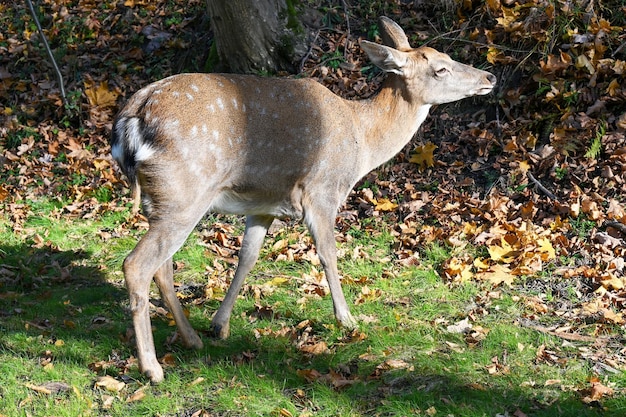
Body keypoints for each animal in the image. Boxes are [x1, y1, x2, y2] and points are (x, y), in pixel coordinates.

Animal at [111, 16, 492, 382]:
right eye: (440, 68)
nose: (489, 76)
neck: (363, 140)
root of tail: (131, 119)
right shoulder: (321, 191)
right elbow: (328, 254)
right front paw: (347, 319)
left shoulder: (263, 203)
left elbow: (247, 258)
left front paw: (220, 324)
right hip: (184, 191)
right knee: (137, 265)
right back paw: (152, 368)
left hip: (162, 199)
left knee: (162, 268)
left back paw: (192, 338)